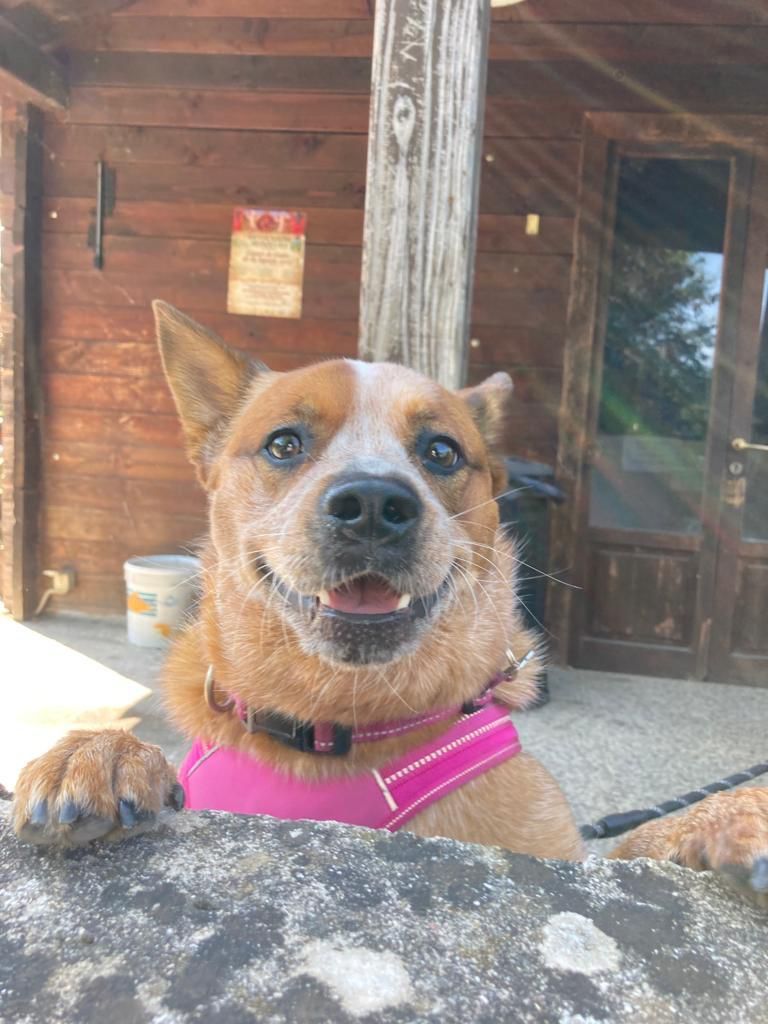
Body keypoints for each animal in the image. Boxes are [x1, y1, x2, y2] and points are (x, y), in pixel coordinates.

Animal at [11, 302, 768, 903]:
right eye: (284, 442)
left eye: (441, 451)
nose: (374, 504)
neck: (338, 726)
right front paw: (101, 750)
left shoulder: (556, 852)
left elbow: (633, 844)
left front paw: (723, 817)